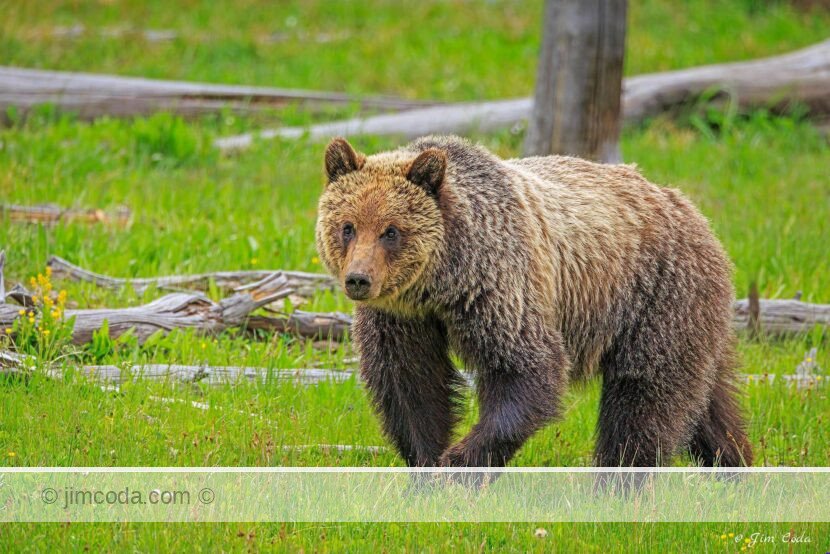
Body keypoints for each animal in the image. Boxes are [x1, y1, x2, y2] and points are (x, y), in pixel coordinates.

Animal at [315, 134, 753, 469]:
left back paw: (617, 483)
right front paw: (426, 464)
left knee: (645, 397)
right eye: (347, 227)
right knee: (709, 404)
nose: (359, 279)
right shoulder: (402, 317)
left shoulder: (500, 285)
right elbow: (410, 384)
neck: (442, 283)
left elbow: (526, 369)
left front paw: (457, 464)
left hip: (655, 295)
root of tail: (693, 212)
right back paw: (735, 467)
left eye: (391, 231)